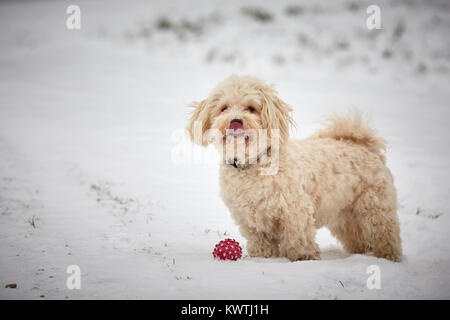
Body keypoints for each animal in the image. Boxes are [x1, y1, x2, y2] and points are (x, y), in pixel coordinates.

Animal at [185, 75, 400, 262]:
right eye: (224, 108)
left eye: (251, 108)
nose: (235, 121)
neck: (253, 162)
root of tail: (363, 144)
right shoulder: (249, 217)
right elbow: (259, 240)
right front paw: (263, 257)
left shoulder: (295, 210)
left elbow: (298, 237)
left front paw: (303, 257)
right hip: (344, 214)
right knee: (358, 238)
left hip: (374, 207)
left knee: (385, 234)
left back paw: (388, 257)